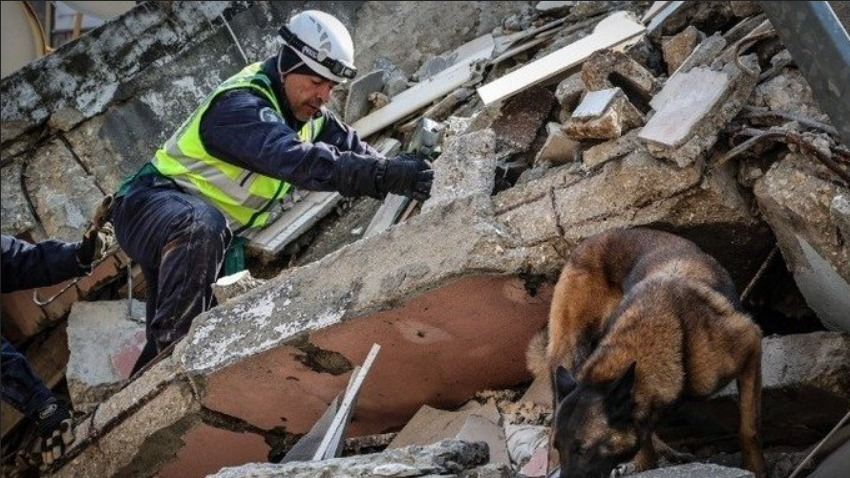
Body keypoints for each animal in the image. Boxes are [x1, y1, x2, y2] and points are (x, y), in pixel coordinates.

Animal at [528, 228, 764, 478]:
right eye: (561, 447)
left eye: (584, 449)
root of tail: (590, 240)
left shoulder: (751, 346)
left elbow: (749, 428)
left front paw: (756, 468)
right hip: (569, 353)